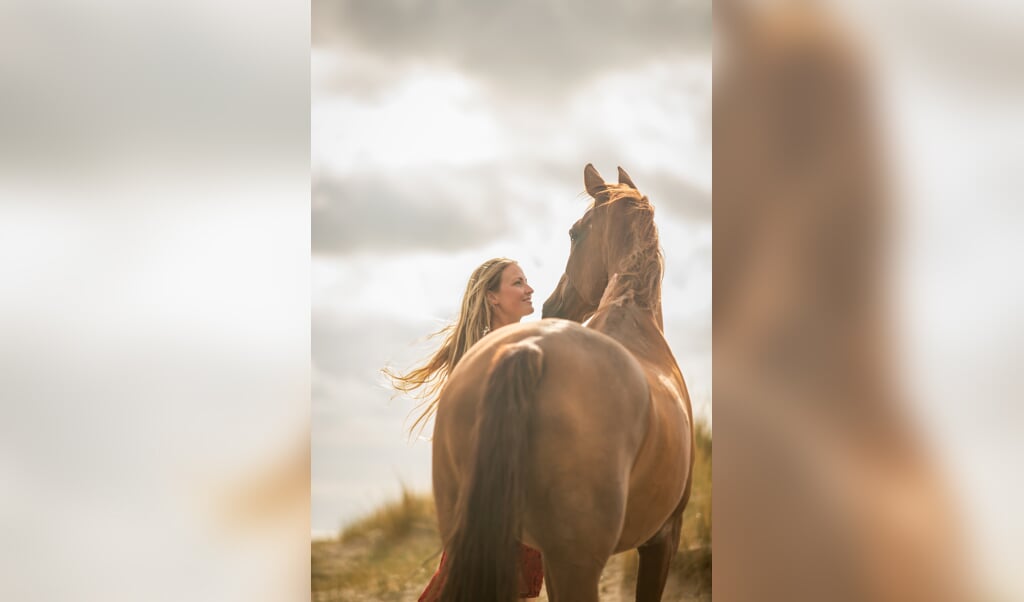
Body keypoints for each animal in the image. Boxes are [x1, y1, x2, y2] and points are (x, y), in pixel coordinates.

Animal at [428, 164, 692, 602]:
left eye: (572, 233)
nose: (551, 304)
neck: (633, 317)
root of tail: (529, 349)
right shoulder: (663, 538)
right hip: (576, 563)